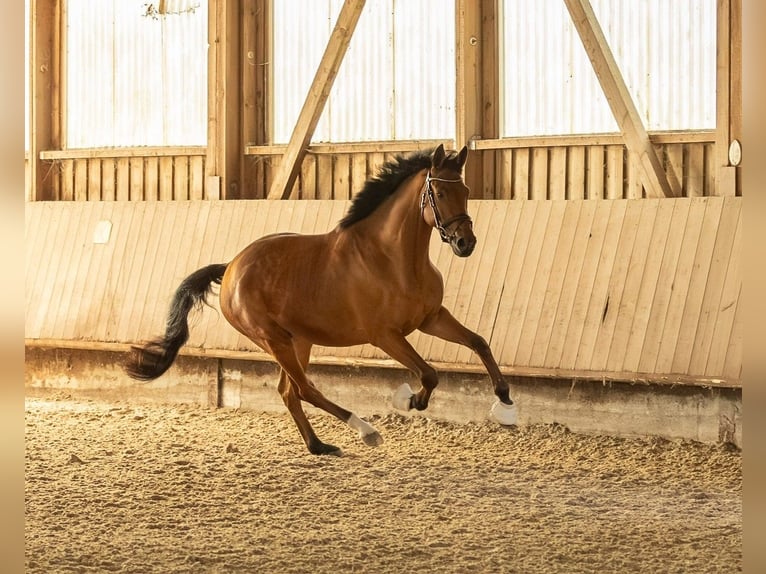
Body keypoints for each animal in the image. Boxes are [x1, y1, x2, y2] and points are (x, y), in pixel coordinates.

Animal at [125, 144, 517, 455]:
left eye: (465, 189)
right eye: (439, 194)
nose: (465, 243)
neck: (395, 258)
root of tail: (233, 266)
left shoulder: (431, 318)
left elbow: (478, 342)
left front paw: (505, 403)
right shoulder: (385, 335)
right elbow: (429, 373)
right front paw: (411, 400)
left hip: (298, 341)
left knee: (289, 391)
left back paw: (318, 446)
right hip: (273, 340)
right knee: (305, 389)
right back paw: (365, 431)